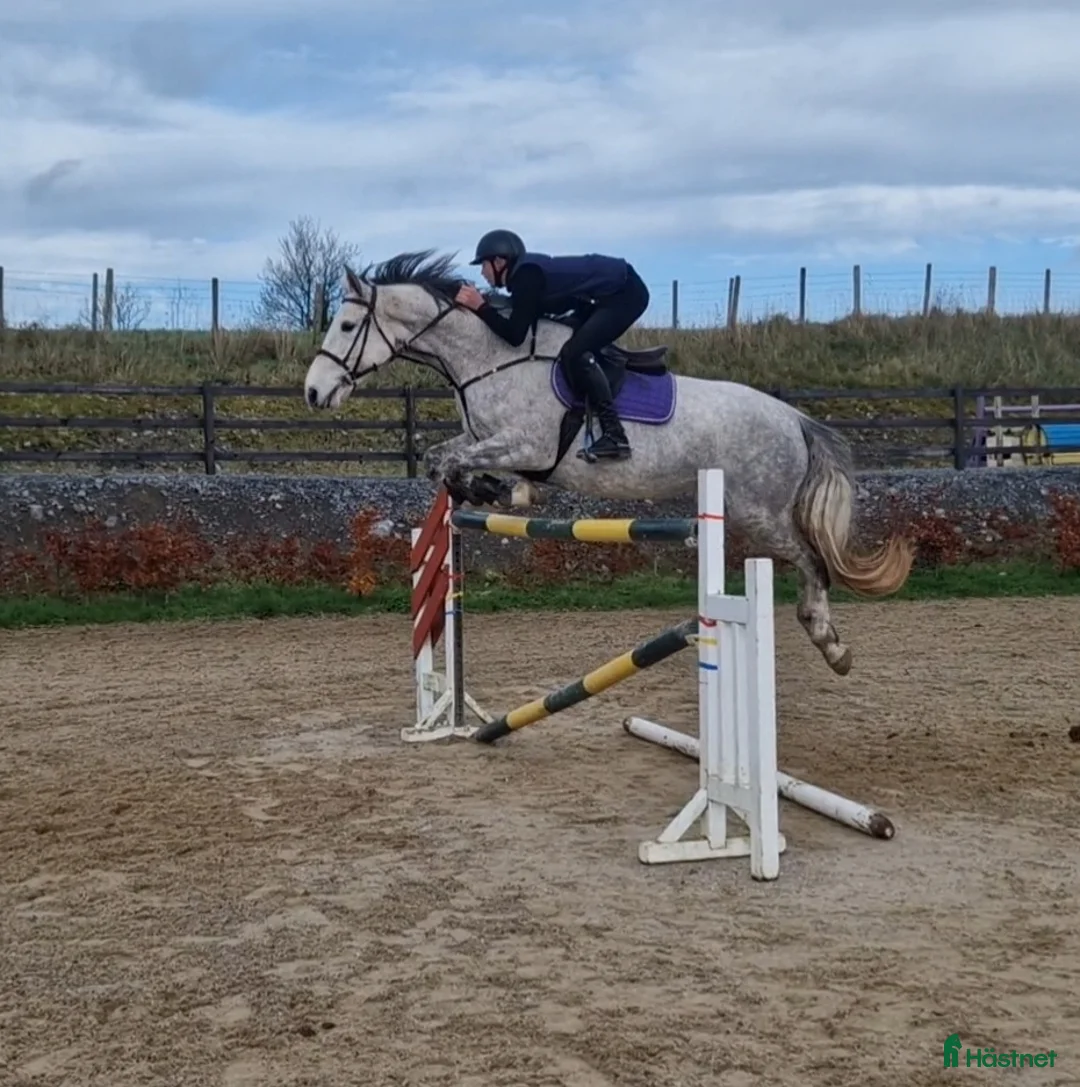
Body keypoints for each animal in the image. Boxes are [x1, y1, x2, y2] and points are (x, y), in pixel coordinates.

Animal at [303, 250, 914, 677]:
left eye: (347, 327)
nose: (313, 392)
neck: (490, 356)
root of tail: (794, 418)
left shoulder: (527, 444)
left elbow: (447, 460)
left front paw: (488, 488)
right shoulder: (496, 441)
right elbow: (441, 459)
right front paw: (494, 491)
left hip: (758, 512)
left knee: (814, 562)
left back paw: (831, 644)